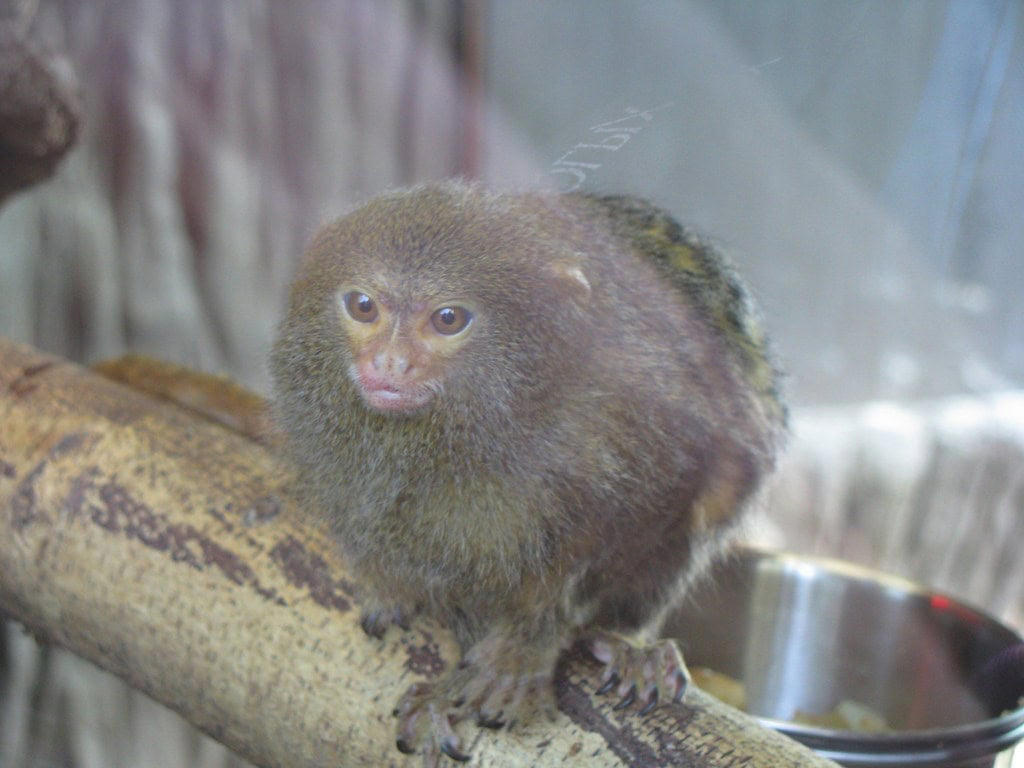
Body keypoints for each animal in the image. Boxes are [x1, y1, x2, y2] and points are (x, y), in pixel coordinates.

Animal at [270, 180, 786, 765]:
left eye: (448, 319)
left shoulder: (660, 435)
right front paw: (427, 650)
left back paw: (631, 647)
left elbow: (630, 535)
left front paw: (525, 645)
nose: (389, 363)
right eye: (363, 307)